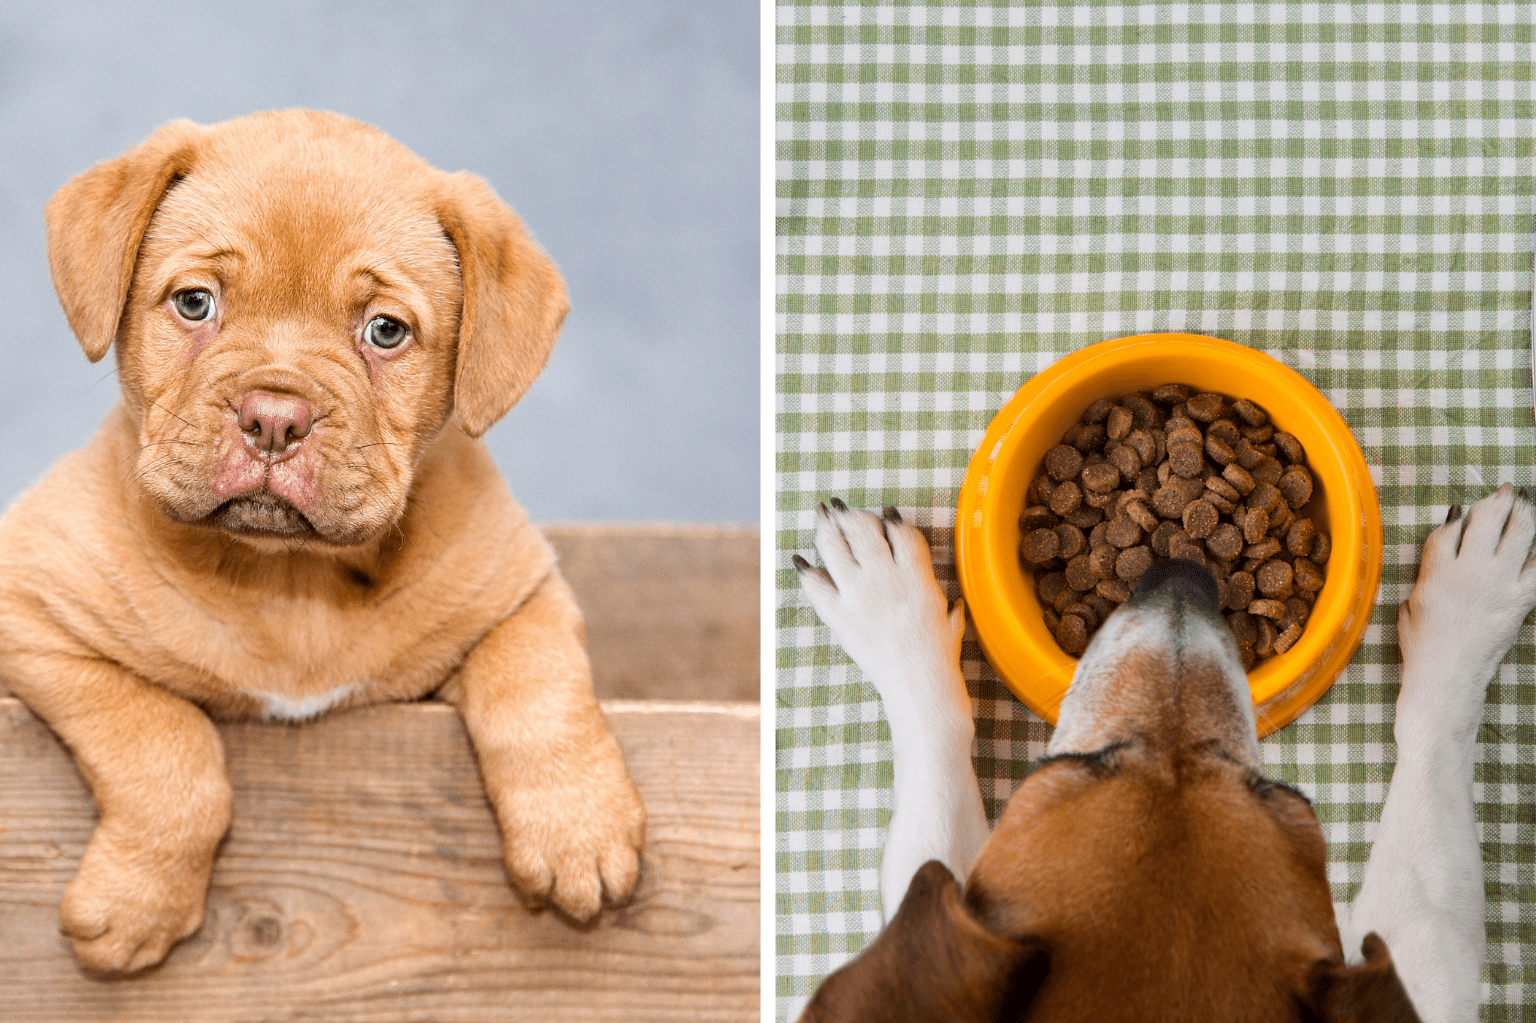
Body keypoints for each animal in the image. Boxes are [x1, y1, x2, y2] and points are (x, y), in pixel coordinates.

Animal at [0, 109, 645, 970]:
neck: (291, 579)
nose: (275, 418)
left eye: (385, 330)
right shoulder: (33, 606)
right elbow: (164, 742)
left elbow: (537, 684)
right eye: (195, 303)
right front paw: (137, 903)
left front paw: (579, 829)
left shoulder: (519, 588)